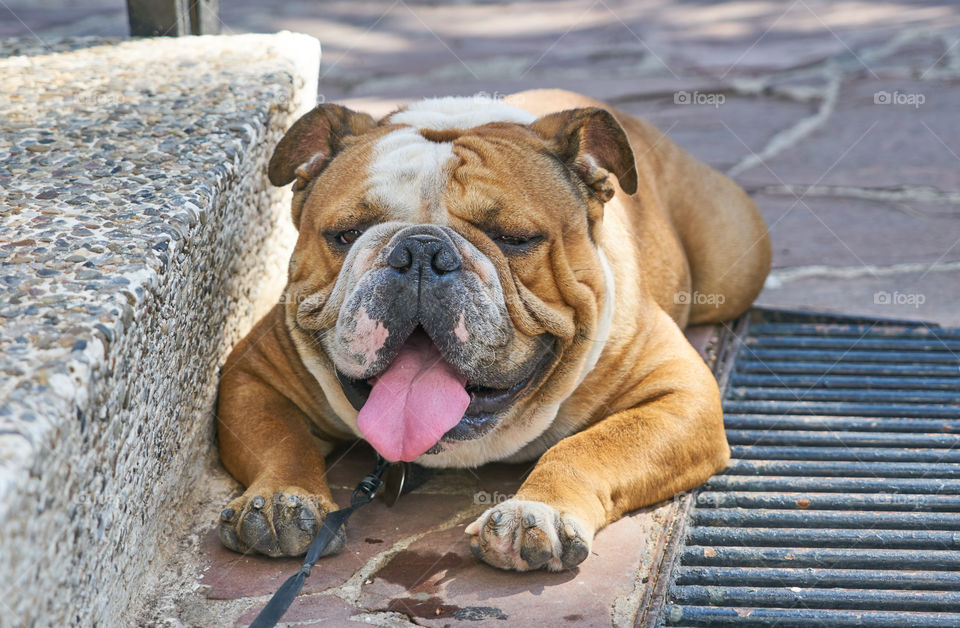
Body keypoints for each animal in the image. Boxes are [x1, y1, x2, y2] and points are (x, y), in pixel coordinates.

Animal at [218, 89, 772, 576]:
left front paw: (536, 512)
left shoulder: (679, 392)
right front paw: (279, 498)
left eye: (514, 238)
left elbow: (586, 448)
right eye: (346, 234)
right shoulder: (251, 375)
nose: (420, 251)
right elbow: (281, 439)